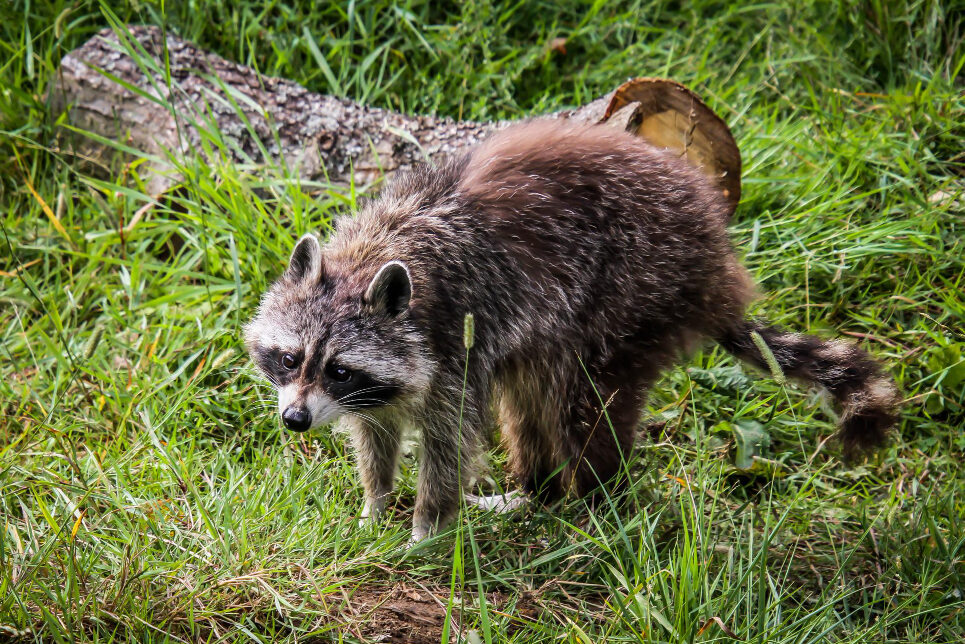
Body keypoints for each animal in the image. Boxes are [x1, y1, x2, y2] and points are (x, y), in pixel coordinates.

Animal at [245, 119, 900, 540]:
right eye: (289, 358)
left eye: (338, 368)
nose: (294, 420)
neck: (371, 255)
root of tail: (717, 264)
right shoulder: (392, 375)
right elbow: (377, 435)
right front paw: (375, 507)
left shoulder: (454, 337)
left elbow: (449, 442)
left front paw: (427, 527)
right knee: (527, 396)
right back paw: (535, 487)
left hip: (637, 287)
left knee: (585, 400)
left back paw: (590, 499)